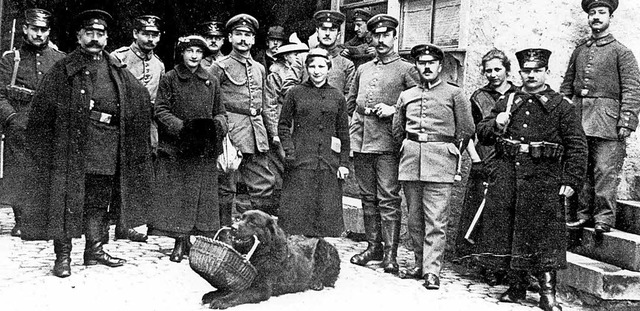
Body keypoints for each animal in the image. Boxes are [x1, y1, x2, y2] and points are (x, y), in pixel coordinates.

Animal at [202, 210, 342, 310]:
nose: (233, 227)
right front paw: (212, 294)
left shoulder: (261, 289)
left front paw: (221, 301)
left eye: (252, 222)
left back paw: (317, 283)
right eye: (240, 218)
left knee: (330, 279)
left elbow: (239, 294)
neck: (263, 252)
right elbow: (227, 289)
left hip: (325, 248)